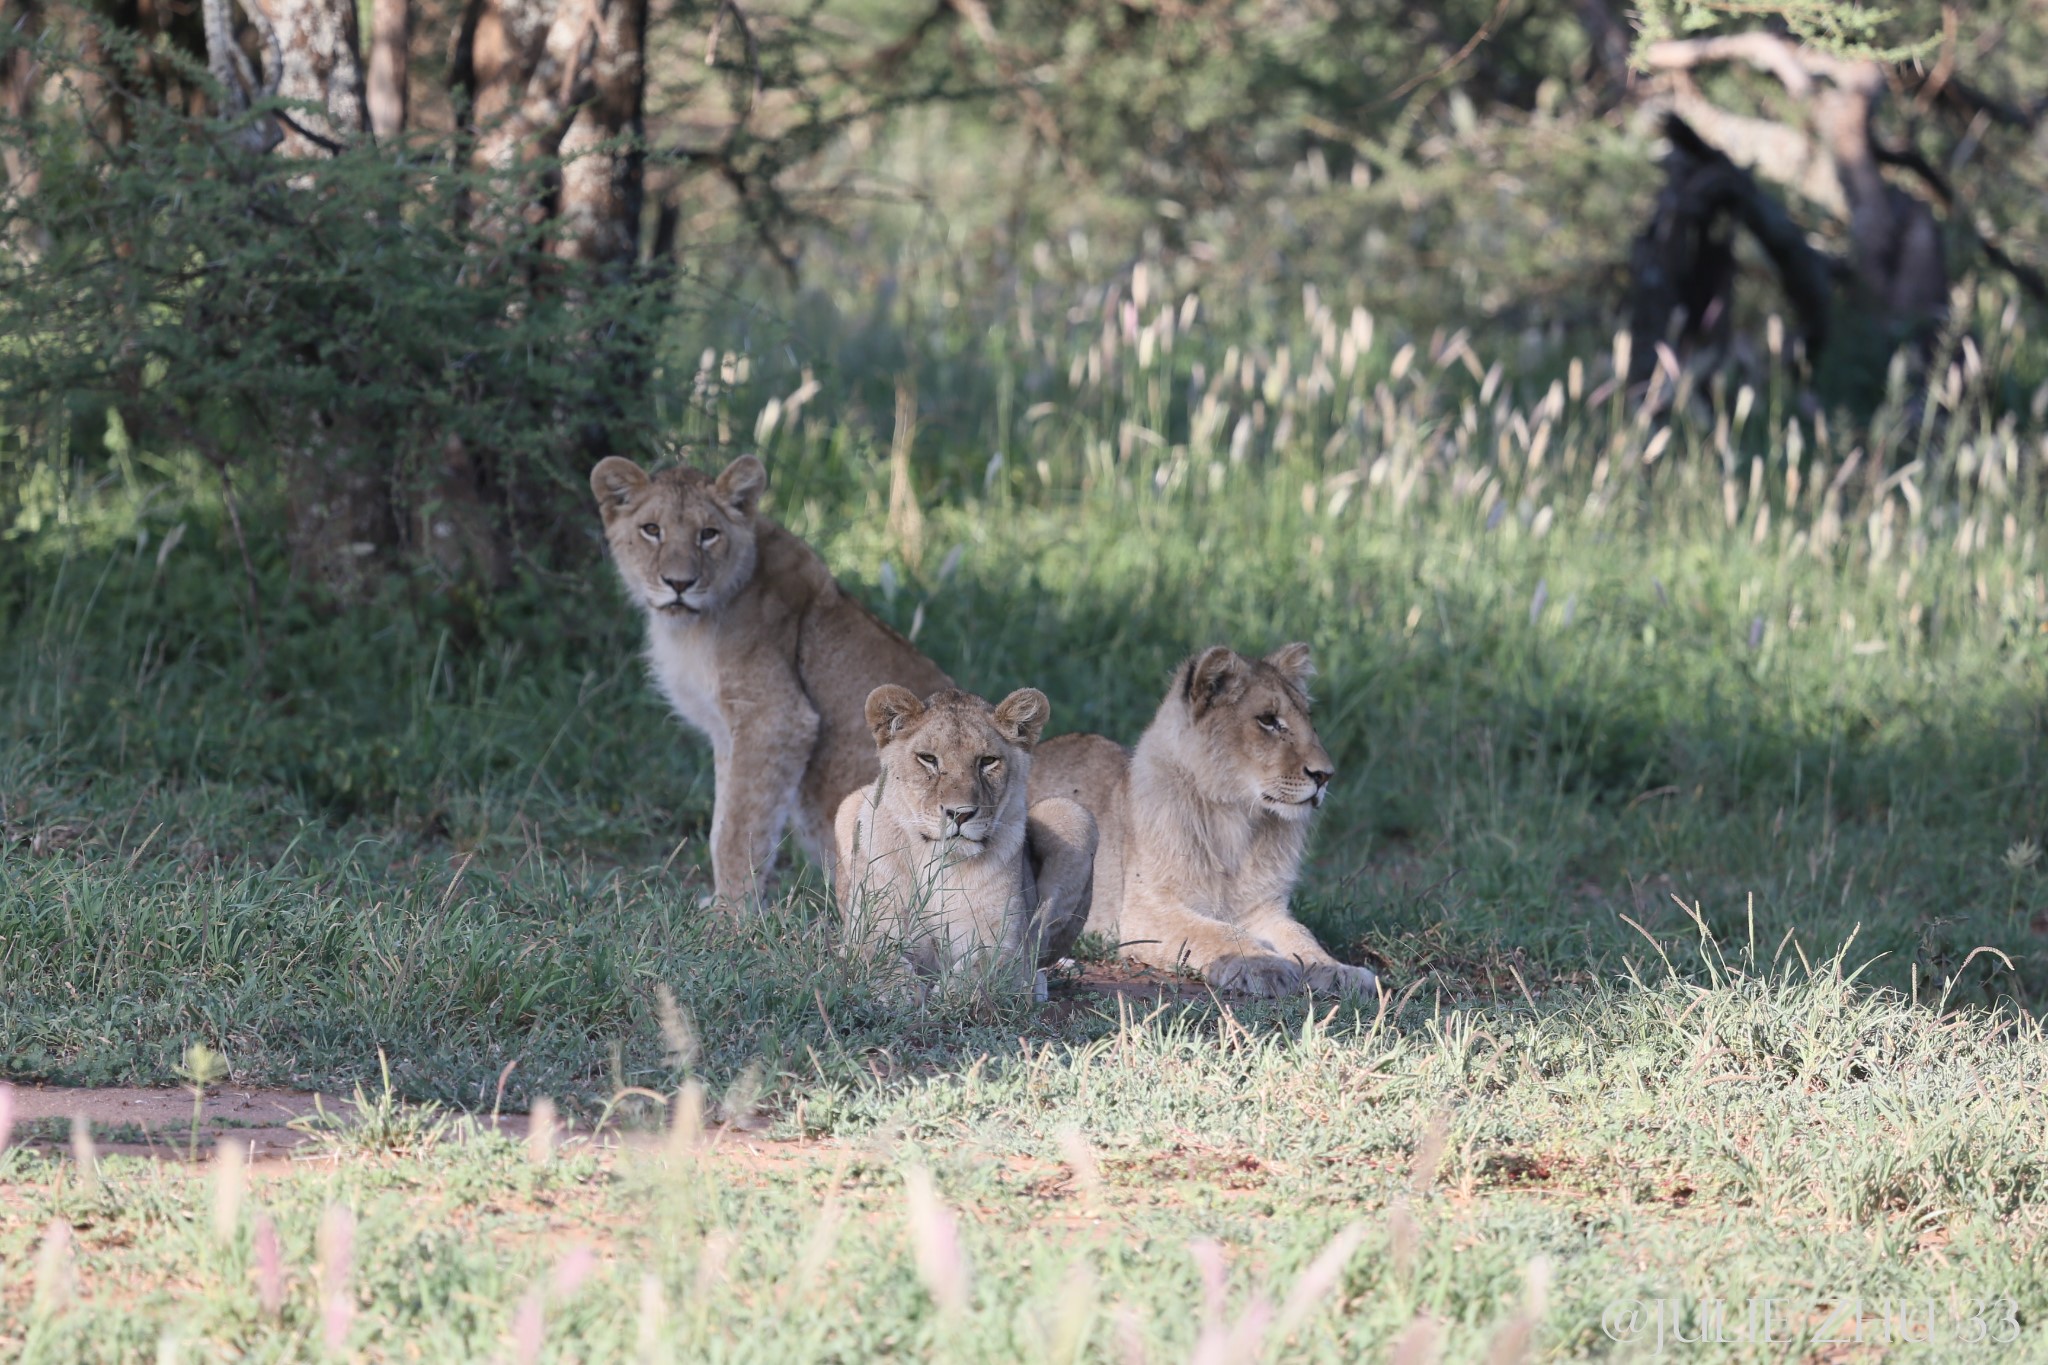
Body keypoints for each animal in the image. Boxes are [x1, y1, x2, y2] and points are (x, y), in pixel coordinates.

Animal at [585, 456, 950, 908]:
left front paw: (731, 914)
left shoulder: (776, 718)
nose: (679, 584)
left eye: (708, 534)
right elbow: (722, 823)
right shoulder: (728, 732)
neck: (692, 627)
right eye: (651, 529)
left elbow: (738, 827)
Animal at [831, 687, 1097, 986]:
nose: (959, 814)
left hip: (1072, 814)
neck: (938, 865)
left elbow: (978, 972)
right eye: (928, 759)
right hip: (850, 803)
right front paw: (900, 990)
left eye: (988, 761)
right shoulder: (867, 934)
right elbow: (882, 964)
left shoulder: (1006, 945)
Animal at [1032, 646, 1384, 998]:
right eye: (1268, 720)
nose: (1325, 775)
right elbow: (1219, 933)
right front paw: (1265, 965)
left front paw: (1339, 971)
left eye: (1309, 720)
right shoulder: (1145, 911)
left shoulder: (1265, 909)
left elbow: (1302, 935)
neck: (1237, 821)